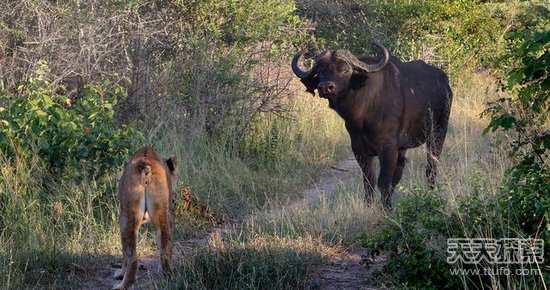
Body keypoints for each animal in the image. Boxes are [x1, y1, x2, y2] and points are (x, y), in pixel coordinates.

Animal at [294, 43, 452, 208]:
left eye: (344, 70)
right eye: (320, 72)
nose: (325, 87)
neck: (364, 115)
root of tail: (445, 83)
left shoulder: (388, 149)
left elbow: (383, 182)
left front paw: (386, 208)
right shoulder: (359, 150)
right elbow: (369, 181)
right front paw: (370, 206)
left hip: (437, 134)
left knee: (431, 167)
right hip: (404, 147)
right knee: (400, 171)